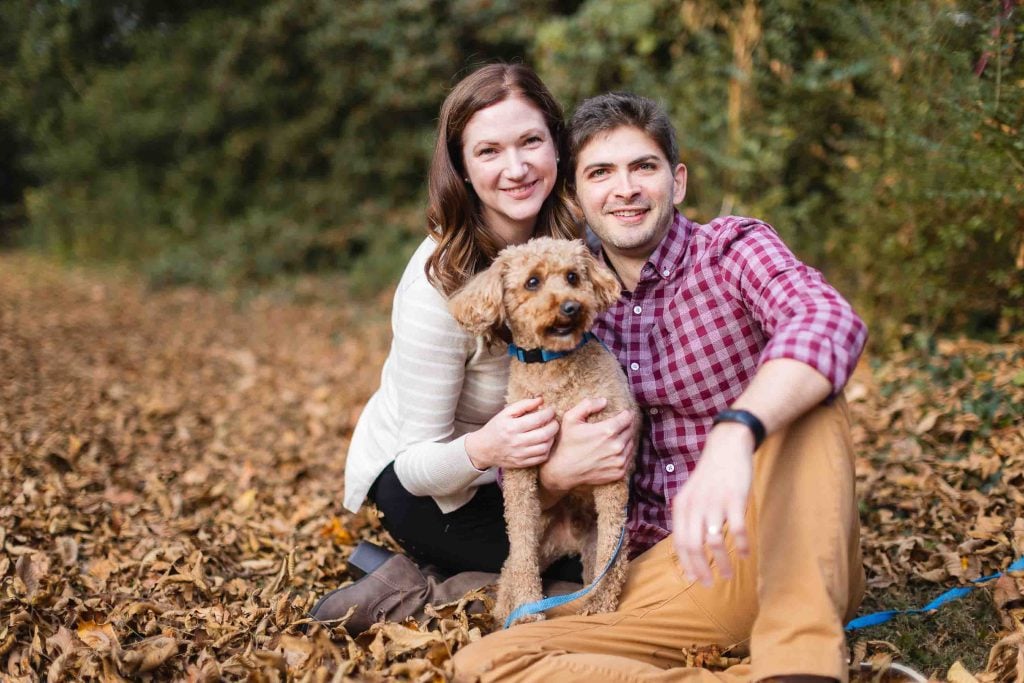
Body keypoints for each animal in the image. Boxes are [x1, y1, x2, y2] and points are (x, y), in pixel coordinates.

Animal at [450, 237, 634, 626]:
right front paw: (527, 614)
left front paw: (601, 605)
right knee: (512, 566)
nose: (571, 306)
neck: (553, 368)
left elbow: (613, 547)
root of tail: (568, 540)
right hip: (540, 534)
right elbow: (520, 550)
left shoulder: (612, 461)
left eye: (573, 276)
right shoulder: (519, 467)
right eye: (532, 282)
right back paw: (507, 609)